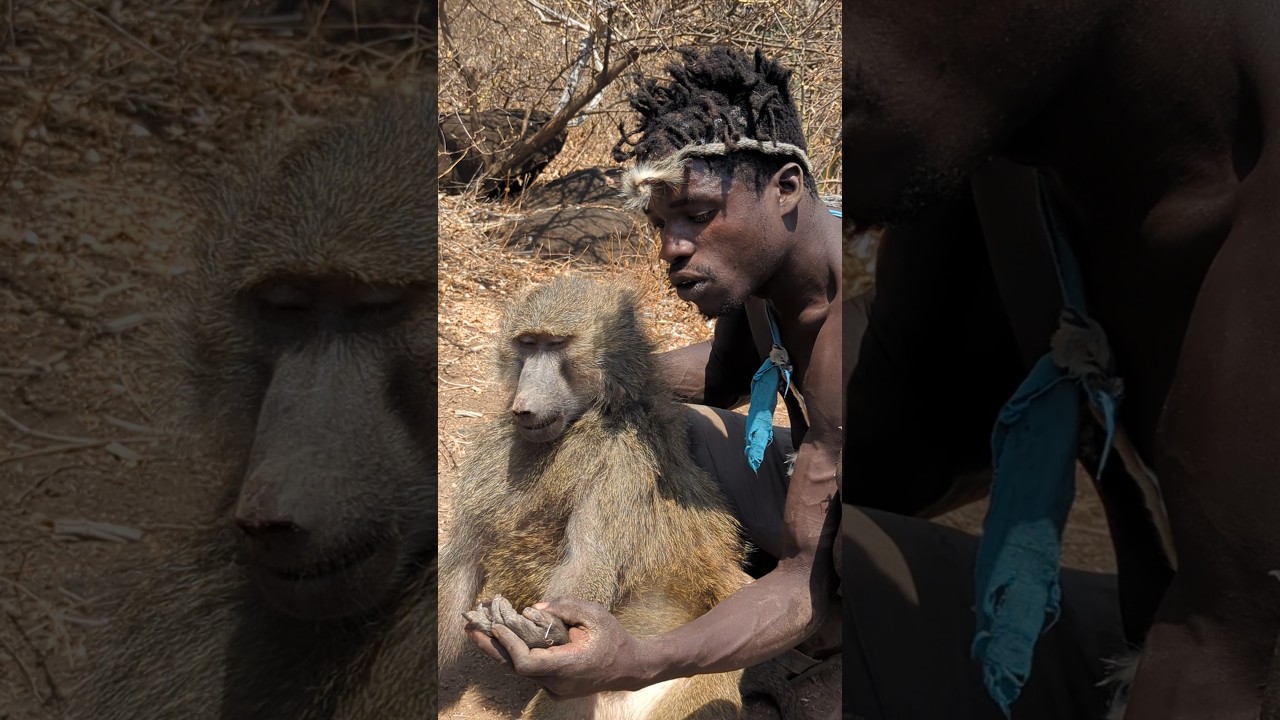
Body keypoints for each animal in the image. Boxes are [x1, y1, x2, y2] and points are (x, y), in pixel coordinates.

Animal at [438, 274, 752, 720]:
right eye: (527, 344)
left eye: (556, 345)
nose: (524, 407)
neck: (584, 418)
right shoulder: (494, 452)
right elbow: (459, 567)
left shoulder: (623, 460)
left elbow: (590, 560)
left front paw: (546, 633)